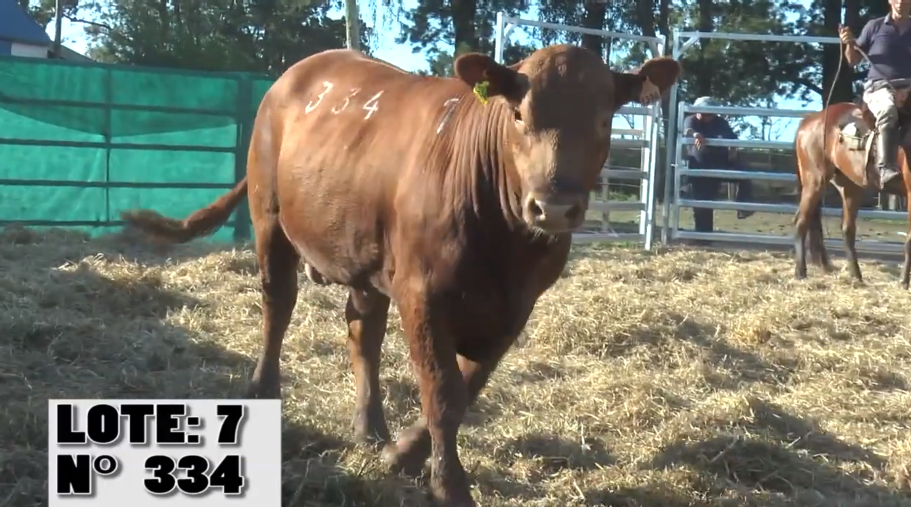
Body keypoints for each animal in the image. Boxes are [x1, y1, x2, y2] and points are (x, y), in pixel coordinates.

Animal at [121, 45, 680, 506]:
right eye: (519, 114)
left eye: (605, 119)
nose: (555, 207)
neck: (505, 244)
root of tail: (298, 72)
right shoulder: (423, 293)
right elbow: (443, 392)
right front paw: (449, 487)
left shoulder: (515, 307)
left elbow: (468, 387)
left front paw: (403, 455)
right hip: (269, 216)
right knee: (277, 305)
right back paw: (262, 390)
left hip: (364, 260)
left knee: (361, 334)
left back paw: (370, 429)